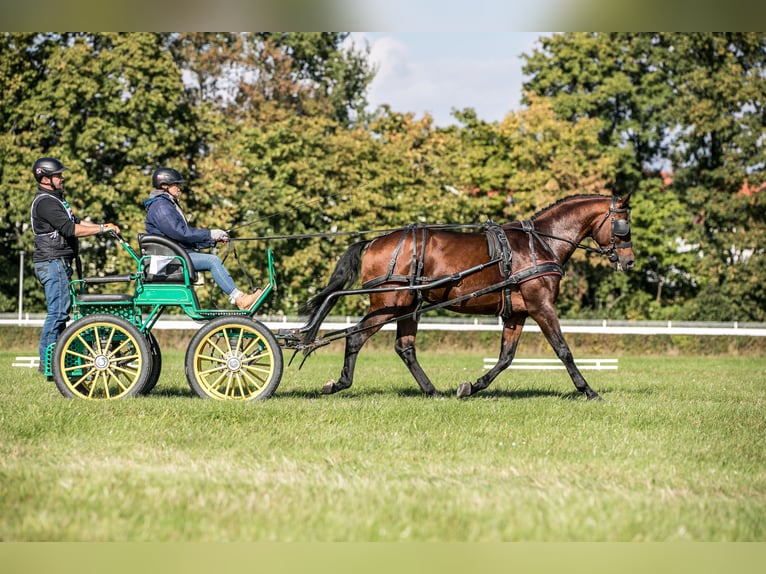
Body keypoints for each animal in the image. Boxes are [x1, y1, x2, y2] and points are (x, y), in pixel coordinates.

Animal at [299, 193, 635, 400]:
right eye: (623, 225)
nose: (629, 261)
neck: (540, 244)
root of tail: (374, 242)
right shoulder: (541, 306)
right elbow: (563, 350)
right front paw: (588, 390)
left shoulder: (516, 313)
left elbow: (505, 357)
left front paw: (471, 387)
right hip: (389, 304)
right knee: (356, 337)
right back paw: (339, 384)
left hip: (407, 306)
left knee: (405, 348)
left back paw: (432, 391)